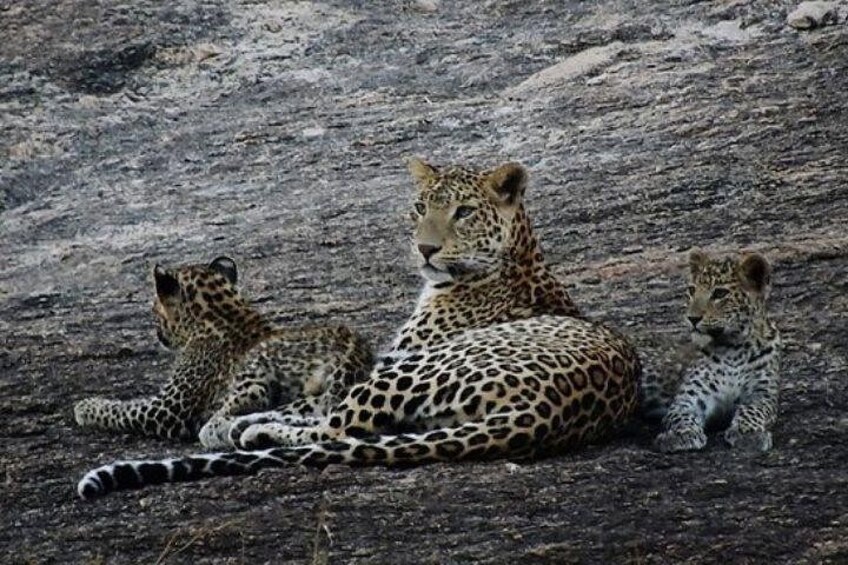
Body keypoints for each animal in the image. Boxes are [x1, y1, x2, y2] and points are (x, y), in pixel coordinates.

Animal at [73, 256, 373, 448]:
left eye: (153, 309)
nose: (157, 332)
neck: (219, 310)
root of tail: (353, 352)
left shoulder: (167, 409)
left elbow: (123, 408)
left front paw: (84, 406)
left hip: (257, 368)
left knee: (245, 405)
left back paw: (218, 430)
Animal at [653, 250, 781, 453]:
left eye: (720, 293)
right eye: (692, 290)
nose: (692, 318)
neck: (733, 348)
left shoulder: (762, 394)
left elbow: (751, 410)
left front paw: (747, 434)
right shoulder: (689, 397)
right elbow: (681, 415)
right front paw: (681, 435)